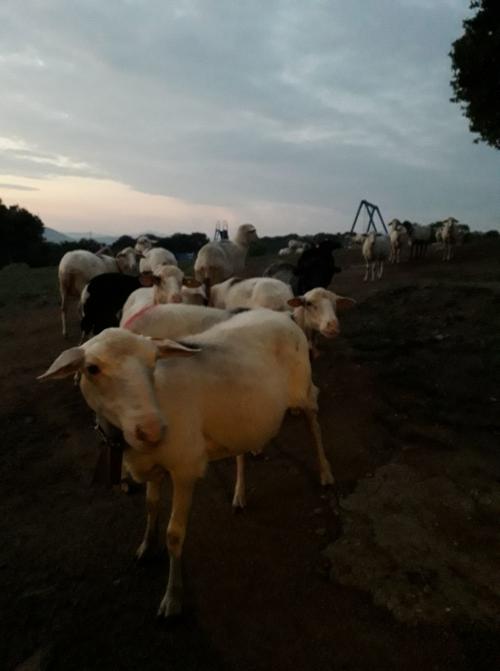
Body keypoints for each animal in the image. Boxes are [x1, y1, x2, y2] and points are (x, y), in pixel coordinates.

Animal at [40, 310, 332, 620]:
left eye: (153, 361)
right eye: (92, 369)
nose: (152, 430)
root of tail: (280, 313)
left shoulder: (184, 469)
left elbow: (174, 535)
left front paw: (172, 597)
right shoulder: (153, 467)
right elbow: (151, 506)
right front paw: (146, 546)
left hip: (303, 390)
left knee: (314, 425)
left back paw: (325, 472)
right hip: (237, 417)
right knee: (241, 451)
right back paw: (239, 494)